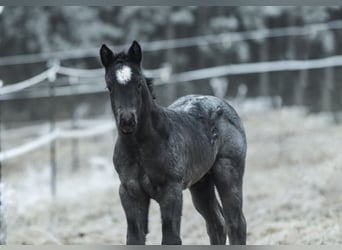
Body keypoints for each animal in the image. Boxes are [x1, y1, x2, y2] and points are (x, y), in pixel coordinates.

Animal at [100, 40, 247, 244]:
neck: (139, 148)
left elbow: (171, 237)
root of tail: (221, 103)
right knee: (217, 224)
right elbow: (135, 237)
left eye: (139, 84)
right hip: (201, 183)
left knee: (236, 223)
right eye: (109, 86)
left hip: (228, 173)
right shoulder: (130, 192)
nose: (127, 120)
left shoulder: (171, 191)